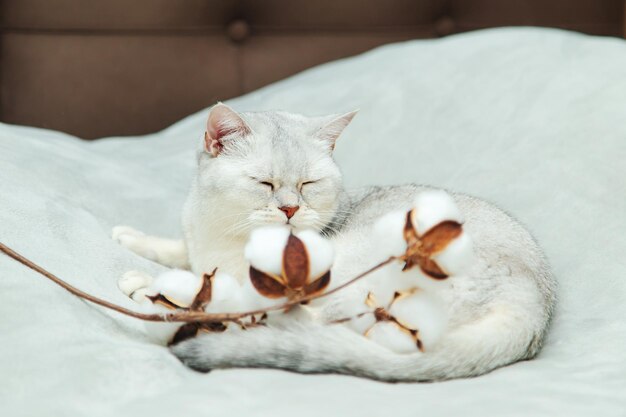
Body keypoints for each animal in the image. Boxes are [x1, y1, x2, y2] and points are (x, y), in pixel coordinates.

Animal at [113, 103, 556, 380]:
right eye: (264, 183)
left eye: (308, 185)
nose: (290, 209)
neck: (226, 234)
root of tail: (532, 305)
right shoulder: (197, 244)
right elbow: (179, 250)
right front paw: (132, 238)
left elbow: (220, 284)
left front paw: (152, 282)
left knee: (290, 319)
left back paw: (164, 301)